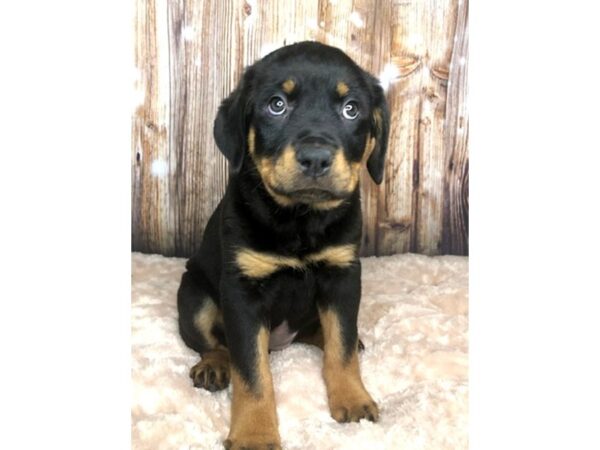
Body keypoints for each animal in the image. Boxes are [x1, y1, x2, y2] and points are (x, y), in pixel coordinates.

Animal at [177, 40, 390, 448]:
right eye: (277, 105)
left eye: (351, 109)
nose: (316, 158)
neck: (299, 218)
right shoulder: (242, 292)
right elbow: (251, 371)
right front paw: (255, 434)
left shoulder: (342, 275)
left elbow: (341, 344)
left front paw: (353, 399)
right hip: (194, 295)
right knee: (213, 342)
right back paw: (214, 366)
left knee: (328, 334)